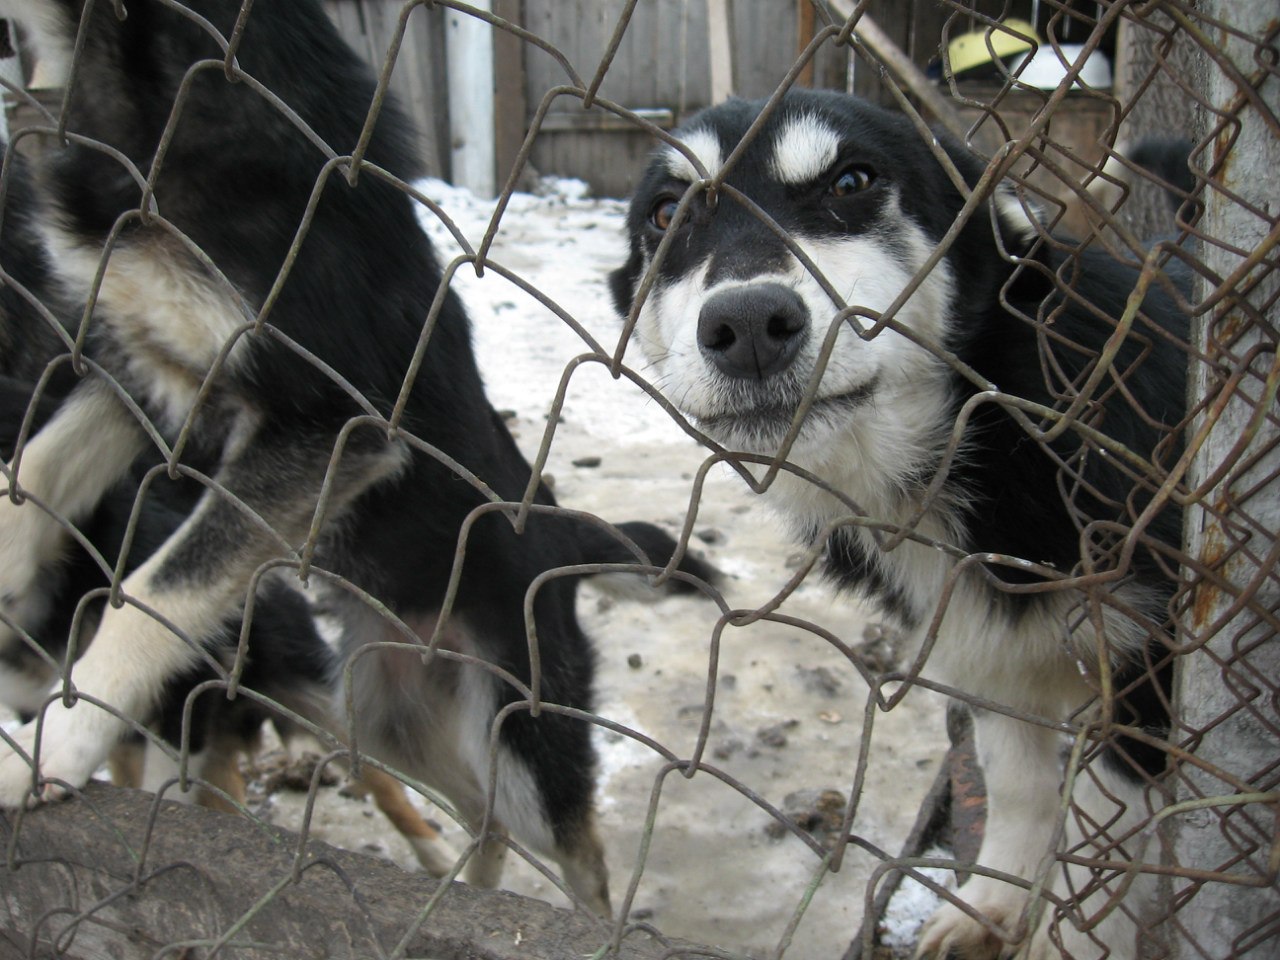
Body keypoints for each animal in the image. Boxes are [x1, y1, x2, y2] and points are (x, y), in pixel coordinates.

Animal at [0, 0, 711, 916]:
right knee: (483, 818)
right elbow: (40, 467)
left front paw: (52, 744)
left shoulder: (330, 424)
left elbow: (156, 591)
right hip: (389, 715)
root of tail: (554, 529)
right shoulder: (138, 367)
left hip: (521, 731)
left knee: (578, 854)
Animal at [614, 92, 1182, 960]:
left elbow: (1100, 860)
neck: (983, 452)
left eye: (853, 180)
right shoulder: (987, 659)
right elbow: (1019, 788)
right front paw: (991, 903)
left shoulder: (1144, 675)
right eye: (667, 211)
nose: (748, 323)